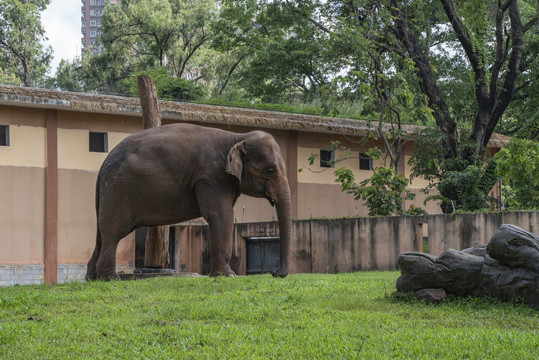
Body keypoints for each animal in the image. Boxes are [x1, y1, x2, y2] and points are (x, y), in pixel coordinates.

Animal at [86, 122, 294, 280]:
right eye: (269, 171)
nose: (274, 272)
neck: (236, 137)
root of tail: (103, 165)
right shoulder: (211, 177)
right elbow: (221, 215)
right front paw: (228, 276)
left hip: (110, 193)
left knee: (101, 235)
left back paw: (92, 277)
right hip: (118, 190)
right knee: (114, 232)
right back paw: (111, 278)